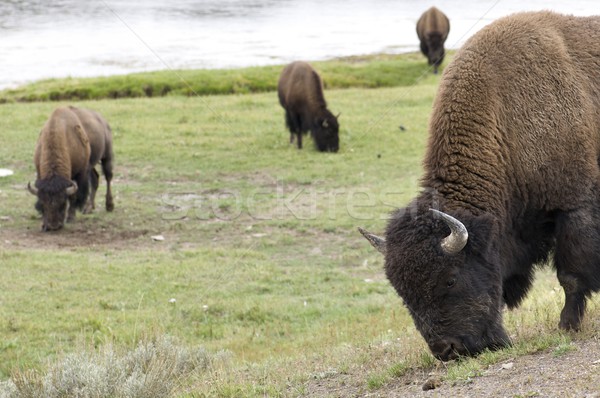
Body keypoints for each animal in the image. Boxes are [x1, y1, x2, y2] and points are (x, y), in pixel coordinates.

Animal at [358, 11, 600, 360]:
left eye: (450, 279)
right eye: (403, 294)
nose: (448, 350)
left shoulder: (573, 205)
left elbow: (570, 276)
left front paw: (567, 325)